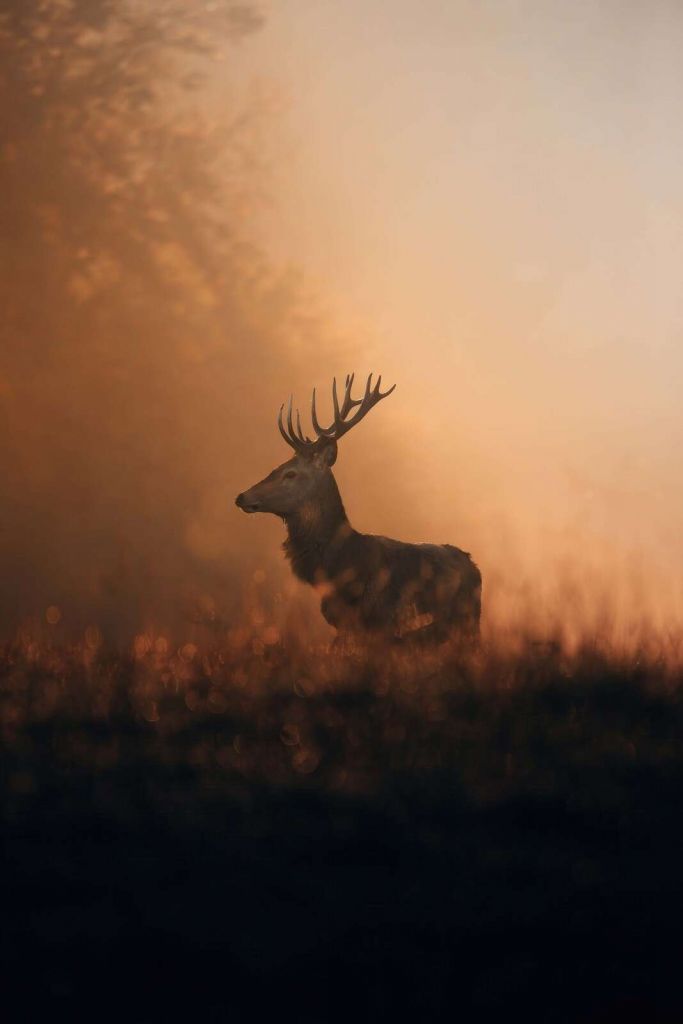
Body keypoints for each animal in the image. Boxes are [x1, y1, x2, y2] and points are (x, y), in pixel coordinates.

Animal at [235, 374, 481, 645]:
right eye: (277, 466)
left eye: (290, 473)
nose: (241, 496)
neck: (343, 564)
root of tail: (474, 566)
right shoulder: (342, 625)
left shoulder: (381, 620)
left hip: (466, 621)